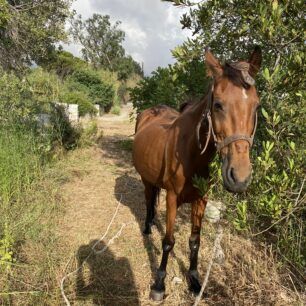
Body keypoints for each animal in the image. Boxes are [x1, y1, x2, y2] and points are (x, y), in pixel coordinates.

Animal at [131, 46, 260, 300]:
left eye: (257, 106)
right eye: (218, 104)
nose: (239, 178)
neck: (190, 153)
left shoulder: (201, 200)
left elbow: (194, 241)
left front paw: (194, 280)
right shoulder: (172, 198)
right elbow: (168, 241)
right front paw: (159, 284)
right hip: (145, 179)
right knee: (149, 199)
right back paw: (147, 227)